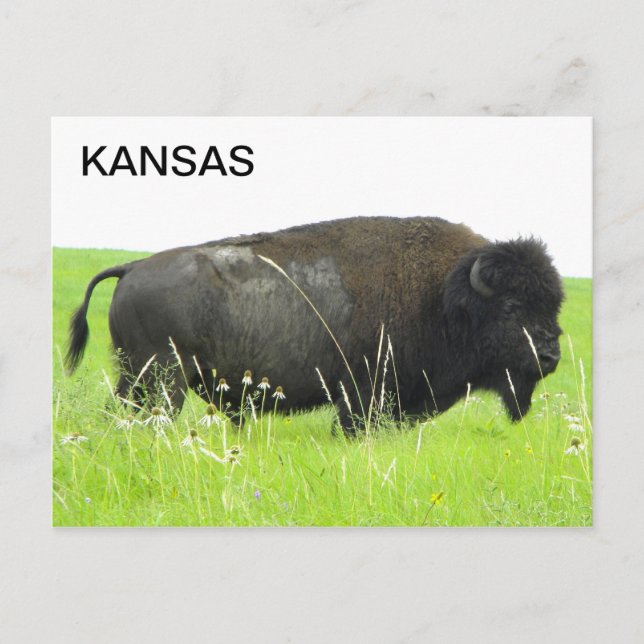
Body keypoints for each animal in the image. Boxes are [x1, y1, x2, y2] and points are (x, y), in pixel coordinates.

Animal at [66, 216, 563, 434]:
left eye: (553, 305)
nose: (550, 355)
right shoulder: (363, 394)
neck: (442, 295)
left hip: (136, 377)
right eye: (511, 307)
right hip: (163, 379)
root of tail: (132, 267)